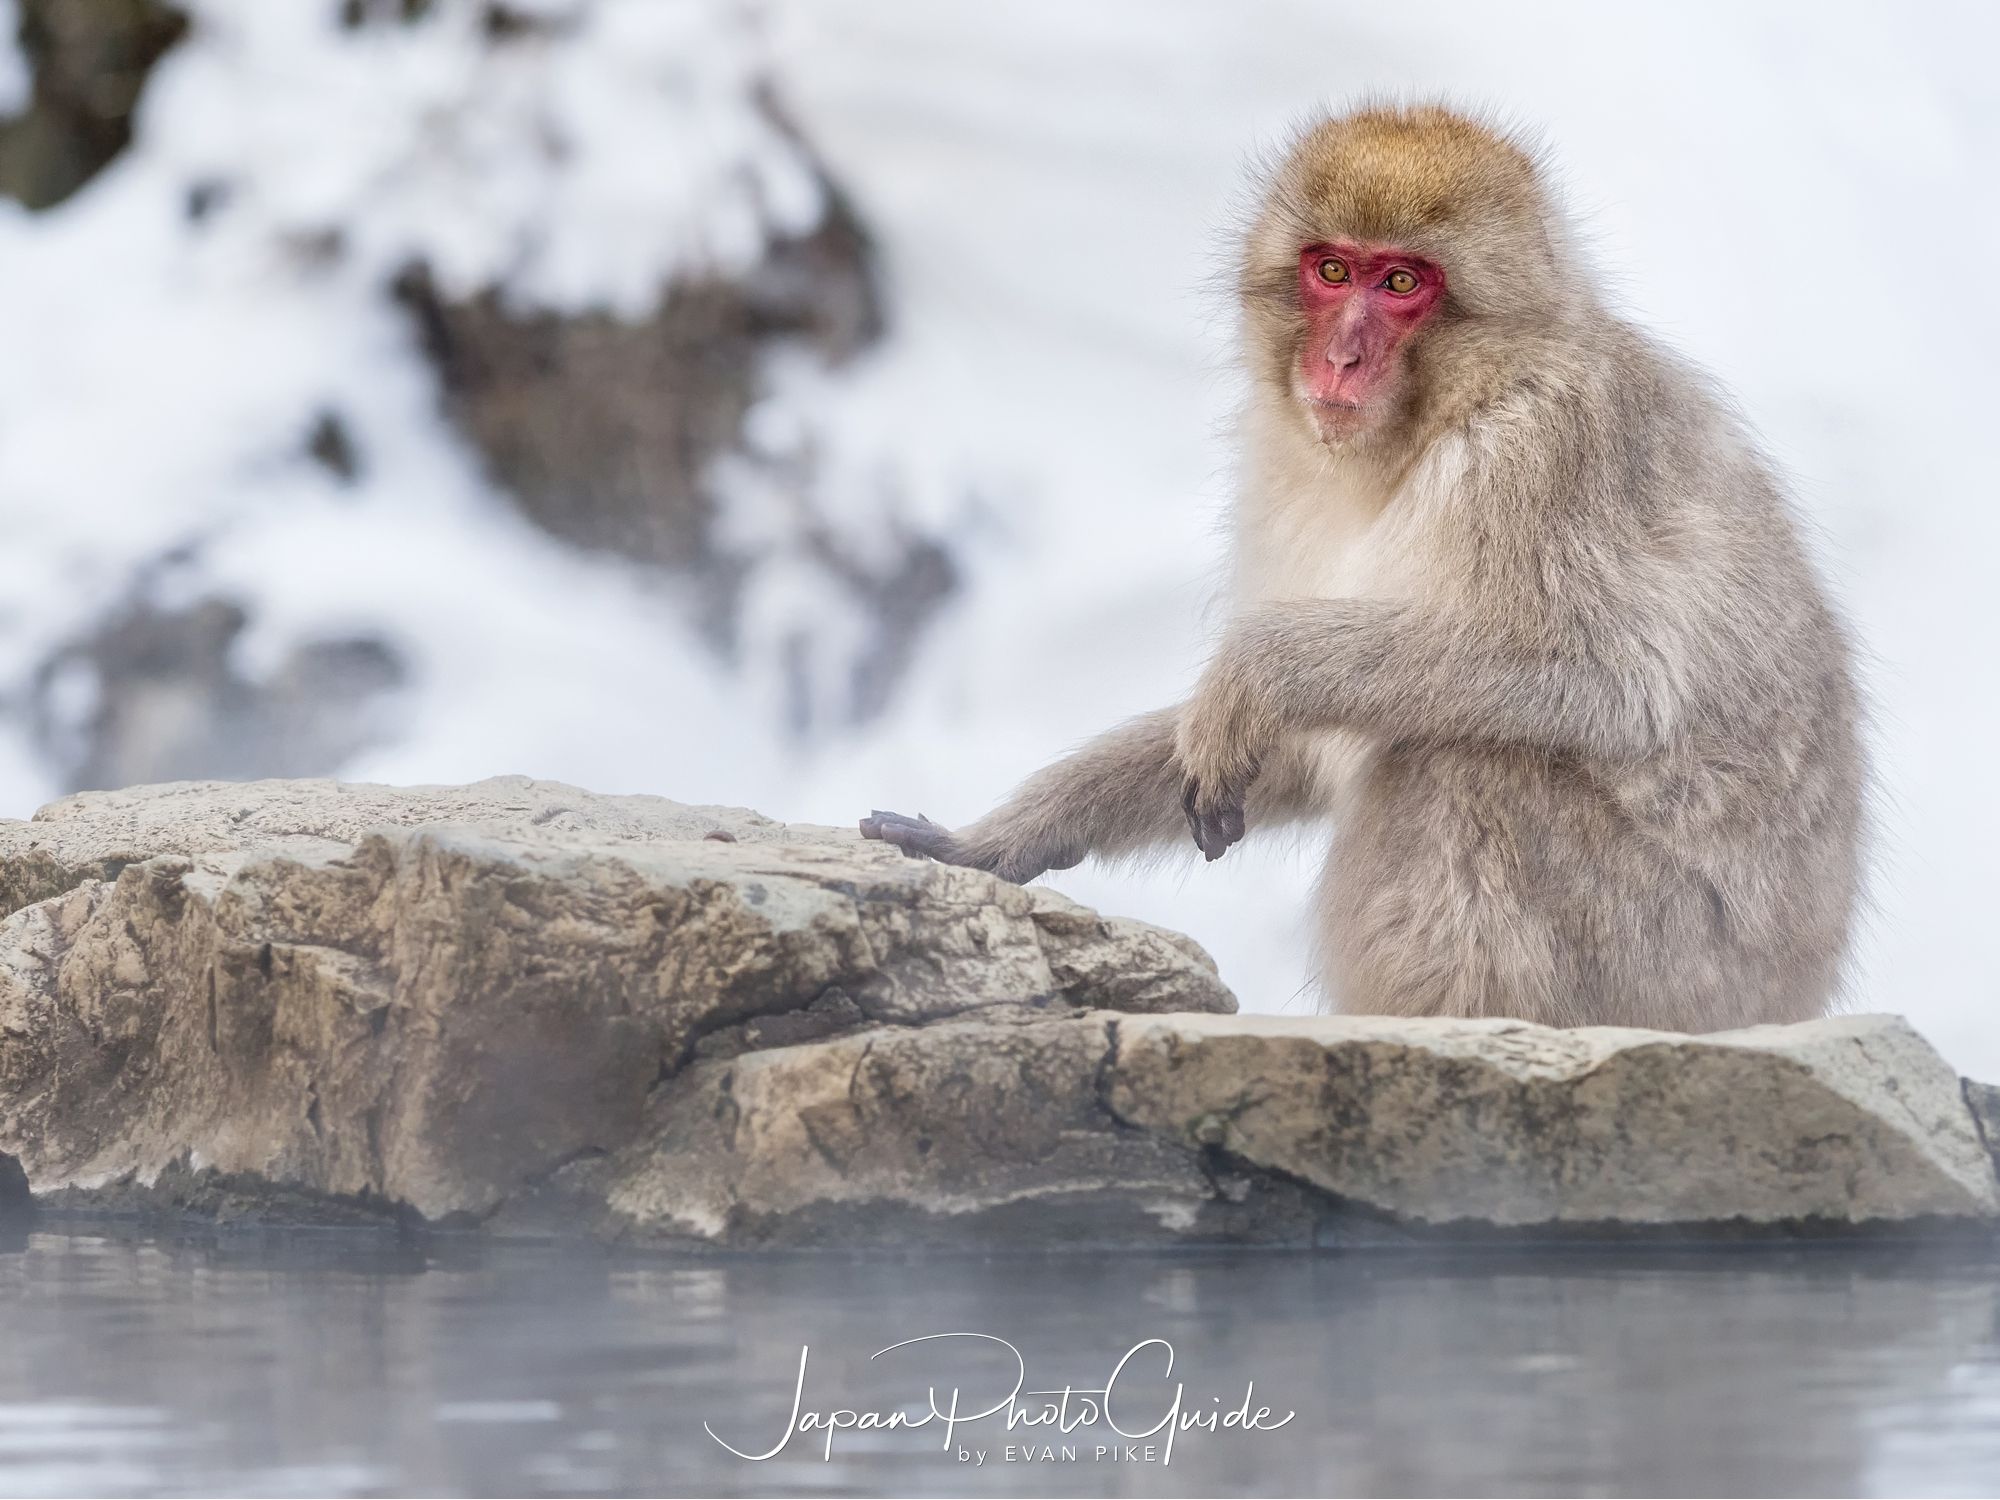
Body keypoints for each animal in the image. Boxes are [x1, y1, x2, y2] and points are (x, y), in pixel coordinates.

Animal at [861, 104, 1864, 1033]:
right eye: (1333, 271)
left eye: (1403, 282)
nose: (1341, 356)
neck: (1436, 421)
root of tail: (1791, 998)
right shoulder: (1284, 472)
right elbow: (1292, 752)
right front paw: (1007, 838)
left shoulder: (1543, 453)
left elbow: (1608, 676)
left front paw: (1254, 672)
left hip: (1667, 961)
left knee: (1459, 761)